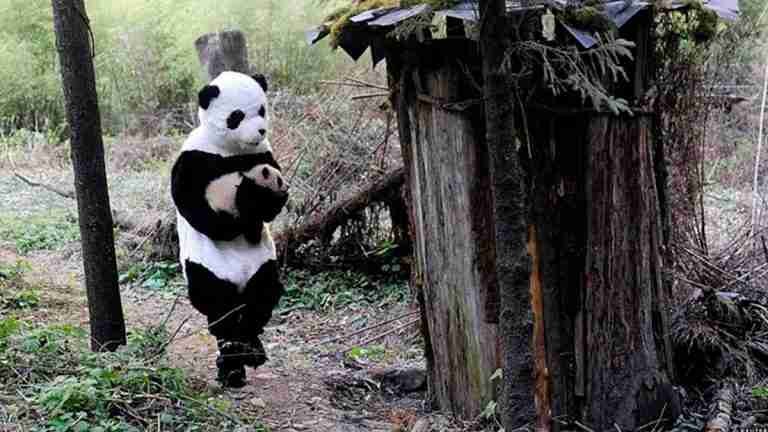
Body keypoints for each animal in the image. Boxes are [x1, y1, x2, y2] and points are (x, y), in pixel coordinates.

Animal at [170, 71, 288, 388]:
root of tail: (239, 280)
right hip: (206, 264)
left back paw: (249, 345)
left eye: (261, 109)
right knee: (214, 299)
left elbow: (269, 211)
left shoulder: (264, 154)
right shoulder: (195, 158)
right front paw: (247, 201)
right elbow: (198, 211)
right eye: (237, 116)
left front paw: (264, 197)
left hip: (262, 262)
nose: (260, 130)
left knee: (264, 292)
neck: (232, 152)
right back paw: (233, 350)